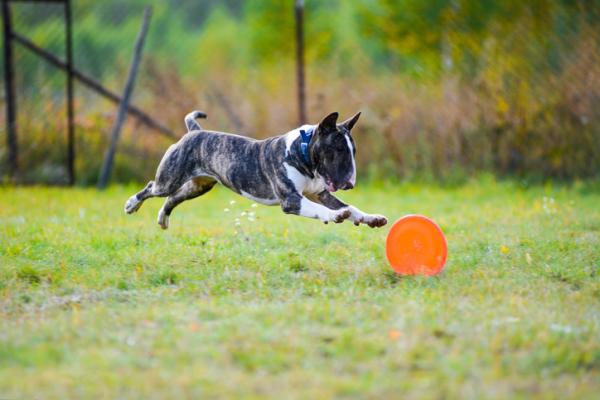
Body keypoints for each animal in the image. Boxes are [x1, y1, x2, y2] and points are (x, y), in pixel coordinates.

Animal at [125, 111, 390, 230]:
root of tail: (194, 131)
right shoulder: (292, 201)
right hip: (170, 178)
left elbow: (350, 207)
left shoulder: (320, 193)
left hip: (198, 186)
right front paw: (335, 216)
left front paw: (372, 218)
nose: (350, 183)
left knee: (172, 198)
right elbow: (322, 210)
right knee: (152, 187)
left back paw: (162, 218)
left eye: (353, 150)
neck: (302, 152)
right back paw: (131, 204)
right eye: (337, 149)